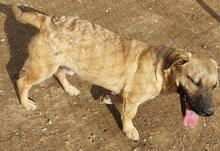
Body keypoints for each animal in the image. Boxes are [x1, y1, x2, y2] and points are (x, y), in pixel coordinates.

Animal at [12, 4, 218, 140]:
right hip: (42, 68)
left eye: (215, 86)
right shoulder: (133, 99)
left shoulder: (126, 93)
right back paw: (26, 104)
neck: (160, 66)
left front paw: (107, 98)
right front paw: (129, 130)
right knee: (22, 82)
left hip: (60, 64)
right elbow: (128, 115)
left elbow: (117, 97)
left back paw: (70, 89)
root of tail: (47, 20)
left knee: (60, 74)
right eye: (194, 81)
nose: (209, 113)